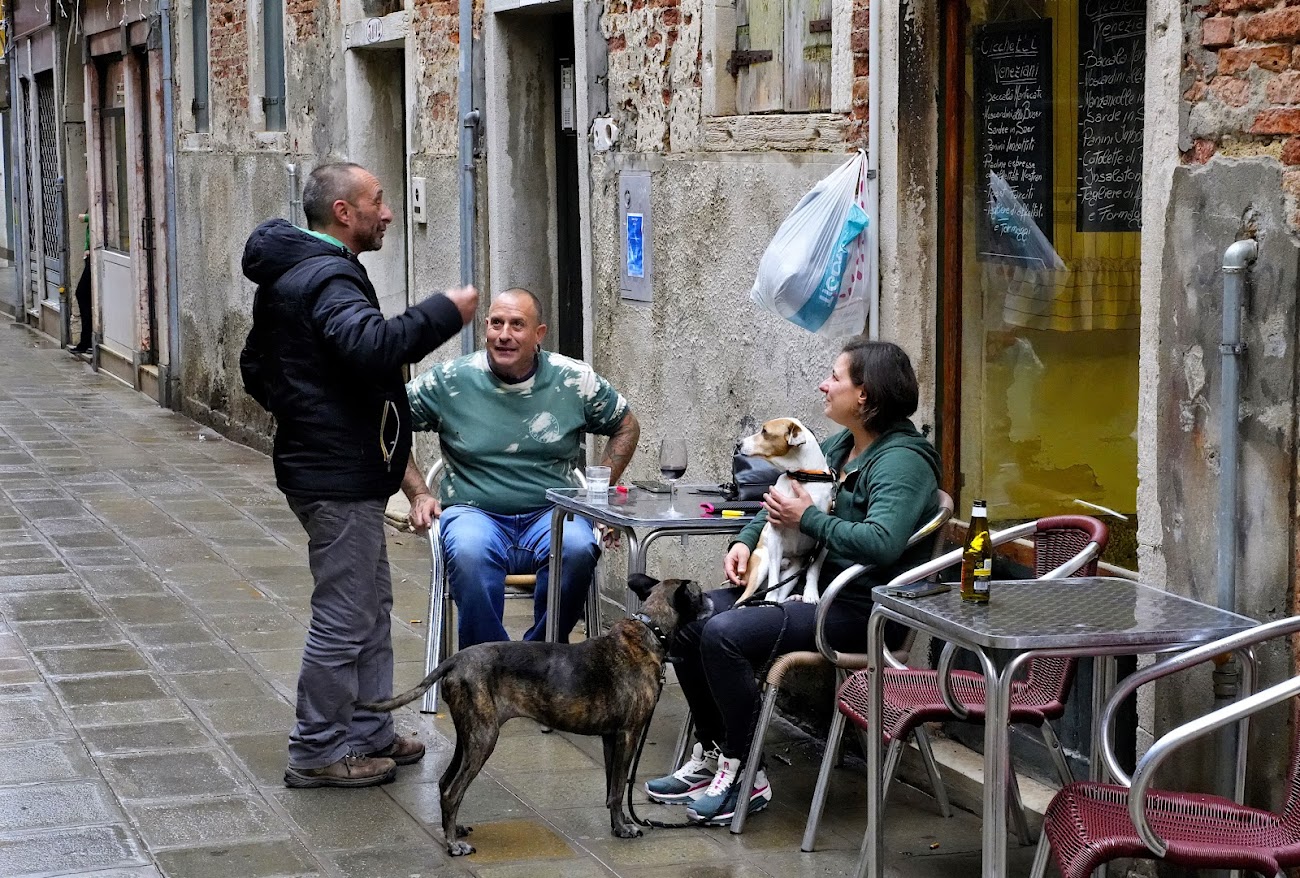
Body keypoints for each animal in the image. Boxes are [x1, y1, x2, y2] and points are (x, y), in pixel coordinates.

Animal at [358, 572, 712, 853]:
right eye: (698, 591)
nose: (714, 597)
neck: (650, 631)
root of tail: (456, 660)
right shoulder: (628, 735)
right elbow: (618, 787)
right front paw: (624, 827)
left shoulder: (611, 738)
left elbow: (612, 788)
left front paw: (618, 824)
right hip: (483, 738)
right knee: (452, 790)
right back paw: (453, 845)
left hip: (468, 736)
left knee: (445, 782)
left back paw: (453, 830)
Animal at [738, 418, 837, 603]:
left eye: (764, 431)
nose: (738, 443)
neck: (801, 477)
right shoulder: (775, 536)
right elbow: (774, 579)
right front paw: (769, 598)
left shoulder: (822, 543)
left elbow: (813, 570)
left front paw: (811, 594)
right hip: (762, 565)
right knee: (743, 600)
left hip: (793, 573)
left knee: (781, 595)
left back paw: (790, 598)